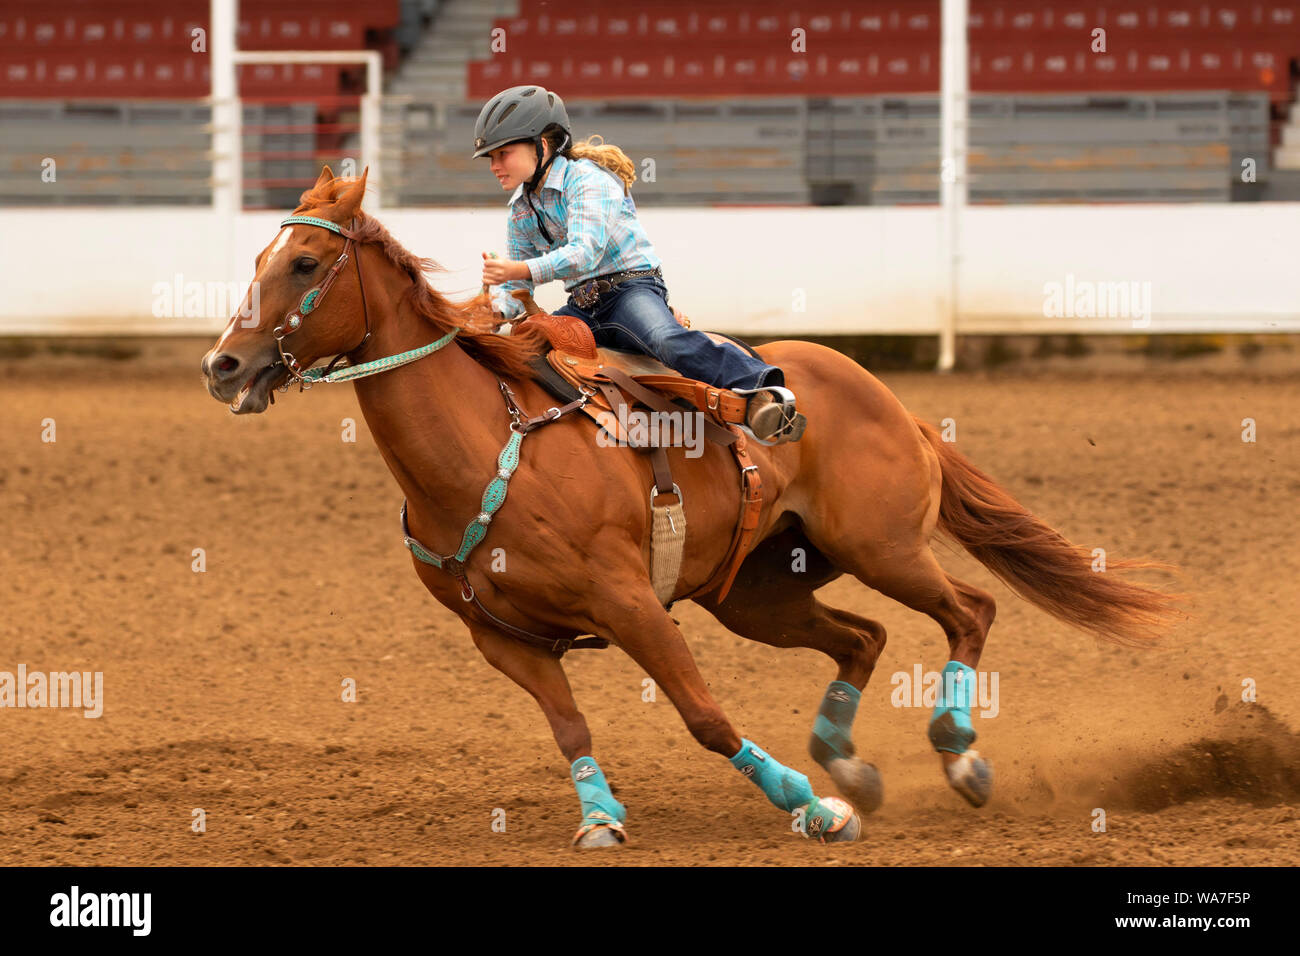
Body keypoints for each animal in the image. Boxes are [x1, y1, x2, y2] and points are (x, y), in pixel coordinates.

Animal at [200, 167, 1180, 848]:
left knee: (969, 610)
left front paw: (812, 811)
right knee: (864, 638)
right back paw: (850, 763)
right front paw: (601, 817)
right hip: (757, 592)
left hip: (883, 547)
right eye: (254, 260)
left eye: (305, 262)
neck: (486, 444)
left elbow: (705, 717)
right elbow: (570, 726)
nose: (223, 365)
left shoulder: (630, 601)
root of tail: (883, 396)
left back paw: (957, 750)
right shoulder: (500, 637)